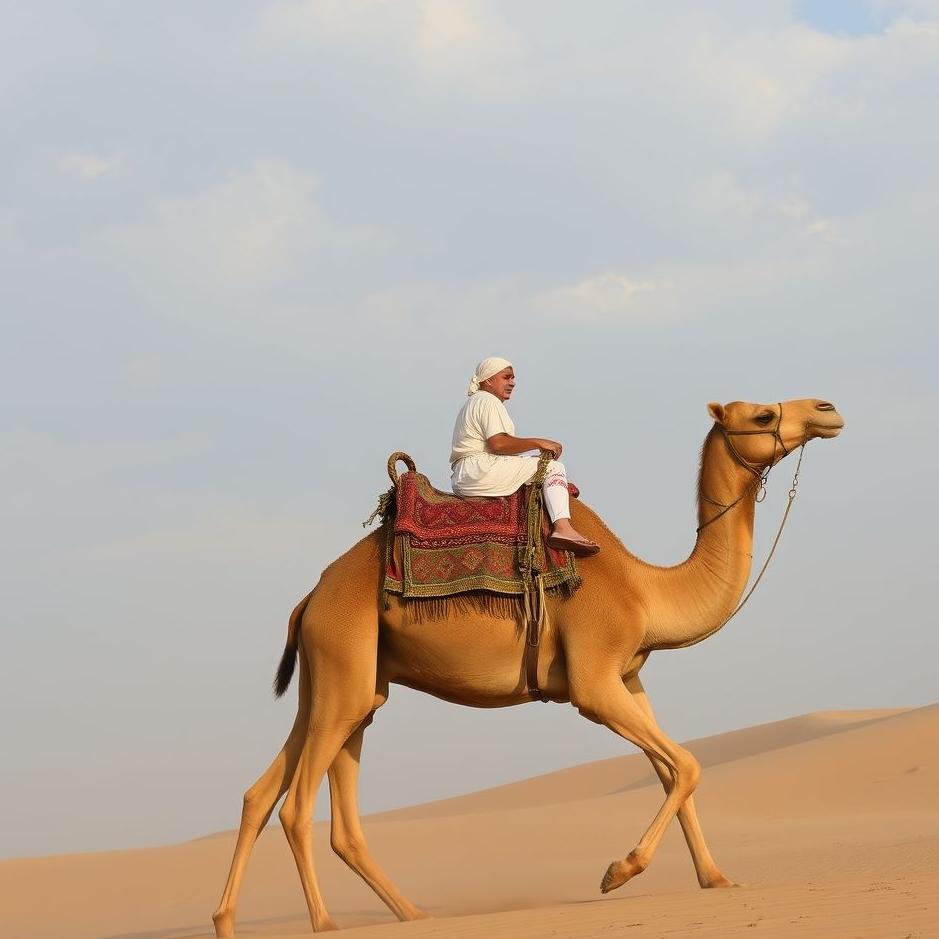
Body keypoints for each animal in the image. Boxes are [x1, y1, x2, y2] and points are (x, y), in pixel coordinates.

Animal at [212, 397, 844, 936]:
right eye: (762, 415)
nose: (828, 410)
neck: (644, 590)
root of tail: (309, 600)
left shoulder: (629, 675)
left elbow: (672, 771)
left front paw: (716, 878)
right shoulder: (593, 679)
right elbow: (687, 764)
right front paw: (616, 872)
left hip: (343, 682)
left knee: (274, 796)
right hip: (342, 663)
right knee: (296, 806)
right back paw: (326, 923)